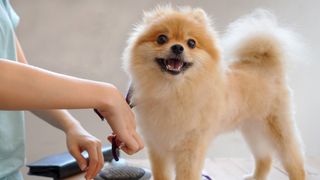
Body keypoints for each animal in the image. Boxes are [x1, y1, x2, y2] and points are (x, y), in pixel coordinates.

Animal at [122, 5, 304, 180]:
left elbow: (187, 175)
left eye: (191, 43)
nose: (178, 47)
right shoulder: (158, 144)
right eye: (161, 39)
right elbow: (161, 174)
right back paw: (255, 177)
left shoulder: (191, 148)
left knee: (295, 161)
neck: (172, 91)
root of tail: (266, 65)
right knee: (265, 157)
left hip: (278, 128)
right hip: (253, 129)